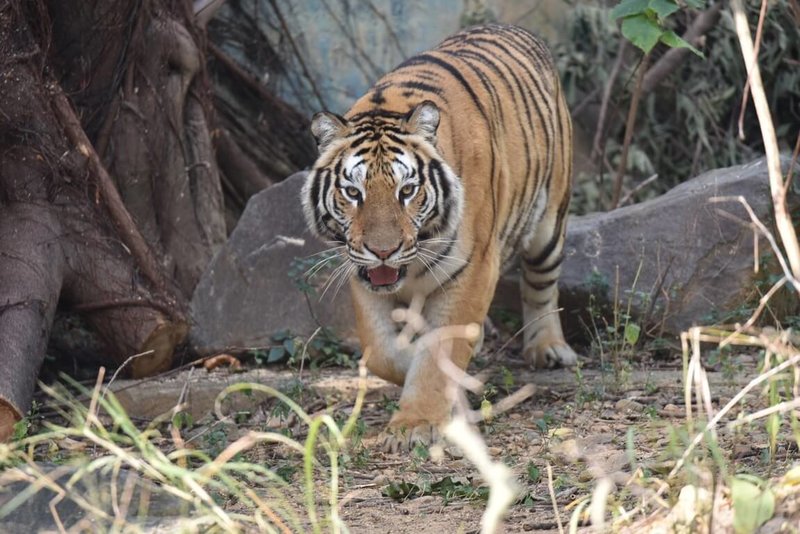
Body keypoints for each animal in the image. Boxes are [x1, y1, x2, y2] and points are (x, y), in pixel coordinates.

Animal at [302, 24, 576, 452]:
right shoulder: (361, 276)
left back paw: (546, 347)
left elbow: (438, 352)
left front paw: (414, 424)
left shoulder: (473, 268)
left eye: (407, 191)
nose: (383, 251)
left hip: (549, 222)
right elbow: (381, 351)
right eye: (353, 193)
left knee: (541, 285)